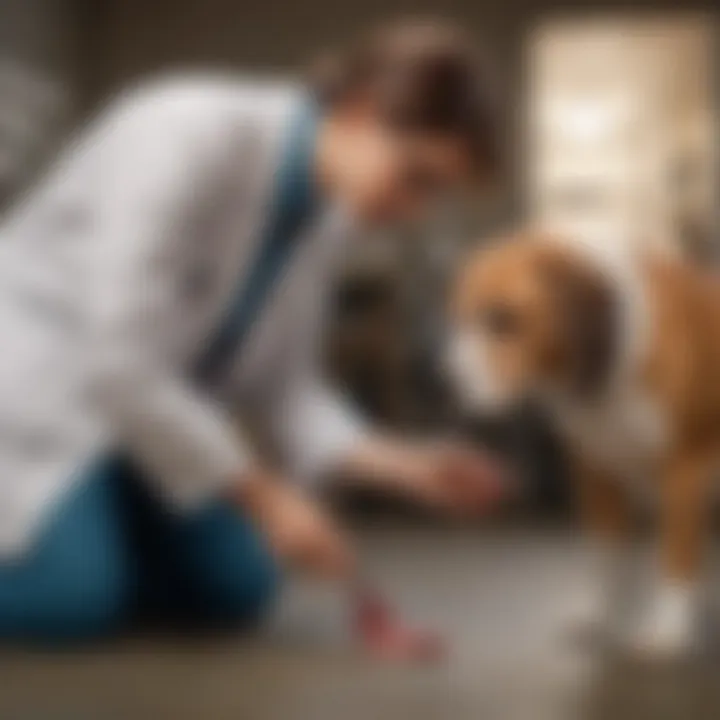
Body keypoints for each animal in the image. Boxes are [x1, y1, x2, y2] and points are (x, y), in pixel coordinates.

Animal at [448, 231, 720, 660]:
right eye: (458, 318)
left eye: (503, 319)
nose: (449, 384)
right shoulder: (595, 470)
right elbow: (606, 555)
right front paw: (599, 614)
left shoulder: (685, 472)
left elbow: (675, 556)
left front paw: (669, 629)